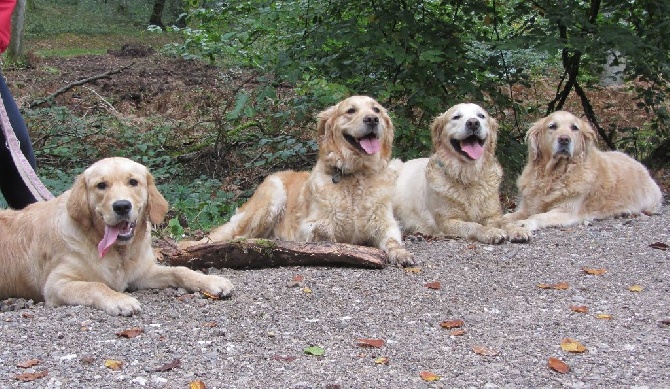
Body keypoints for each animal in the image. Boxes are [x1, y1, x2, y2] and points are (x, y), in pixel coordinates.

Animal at [0, 158, 234, 316]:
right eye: (101, 185)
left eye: (133, 182)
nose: (122, 206)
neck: (118, 252)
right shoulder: (56, 284)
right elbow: (95, 285)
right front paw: (120, 300)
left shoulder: (141, 274)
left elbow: (180, 270)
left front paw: (211, 280)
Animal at [394, 103, 532, 242]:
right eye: (456, 117)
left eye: (481, 116)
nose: (473, 123)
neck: (467, 175)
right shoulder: (447, 221)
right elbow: (473, 225)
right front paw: (490, 231)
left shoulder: (492, 215)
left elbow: (503, 222)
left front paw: (516, 229)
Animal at [506, 110, 664, 230]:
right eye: (552, 126)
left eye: (574, 128)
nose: (564, 139)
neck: (554, 174)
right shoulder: (525, 207)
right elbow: (509, 216)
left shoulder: (566, 211)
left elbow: (538, 216)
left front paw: (524, 224)